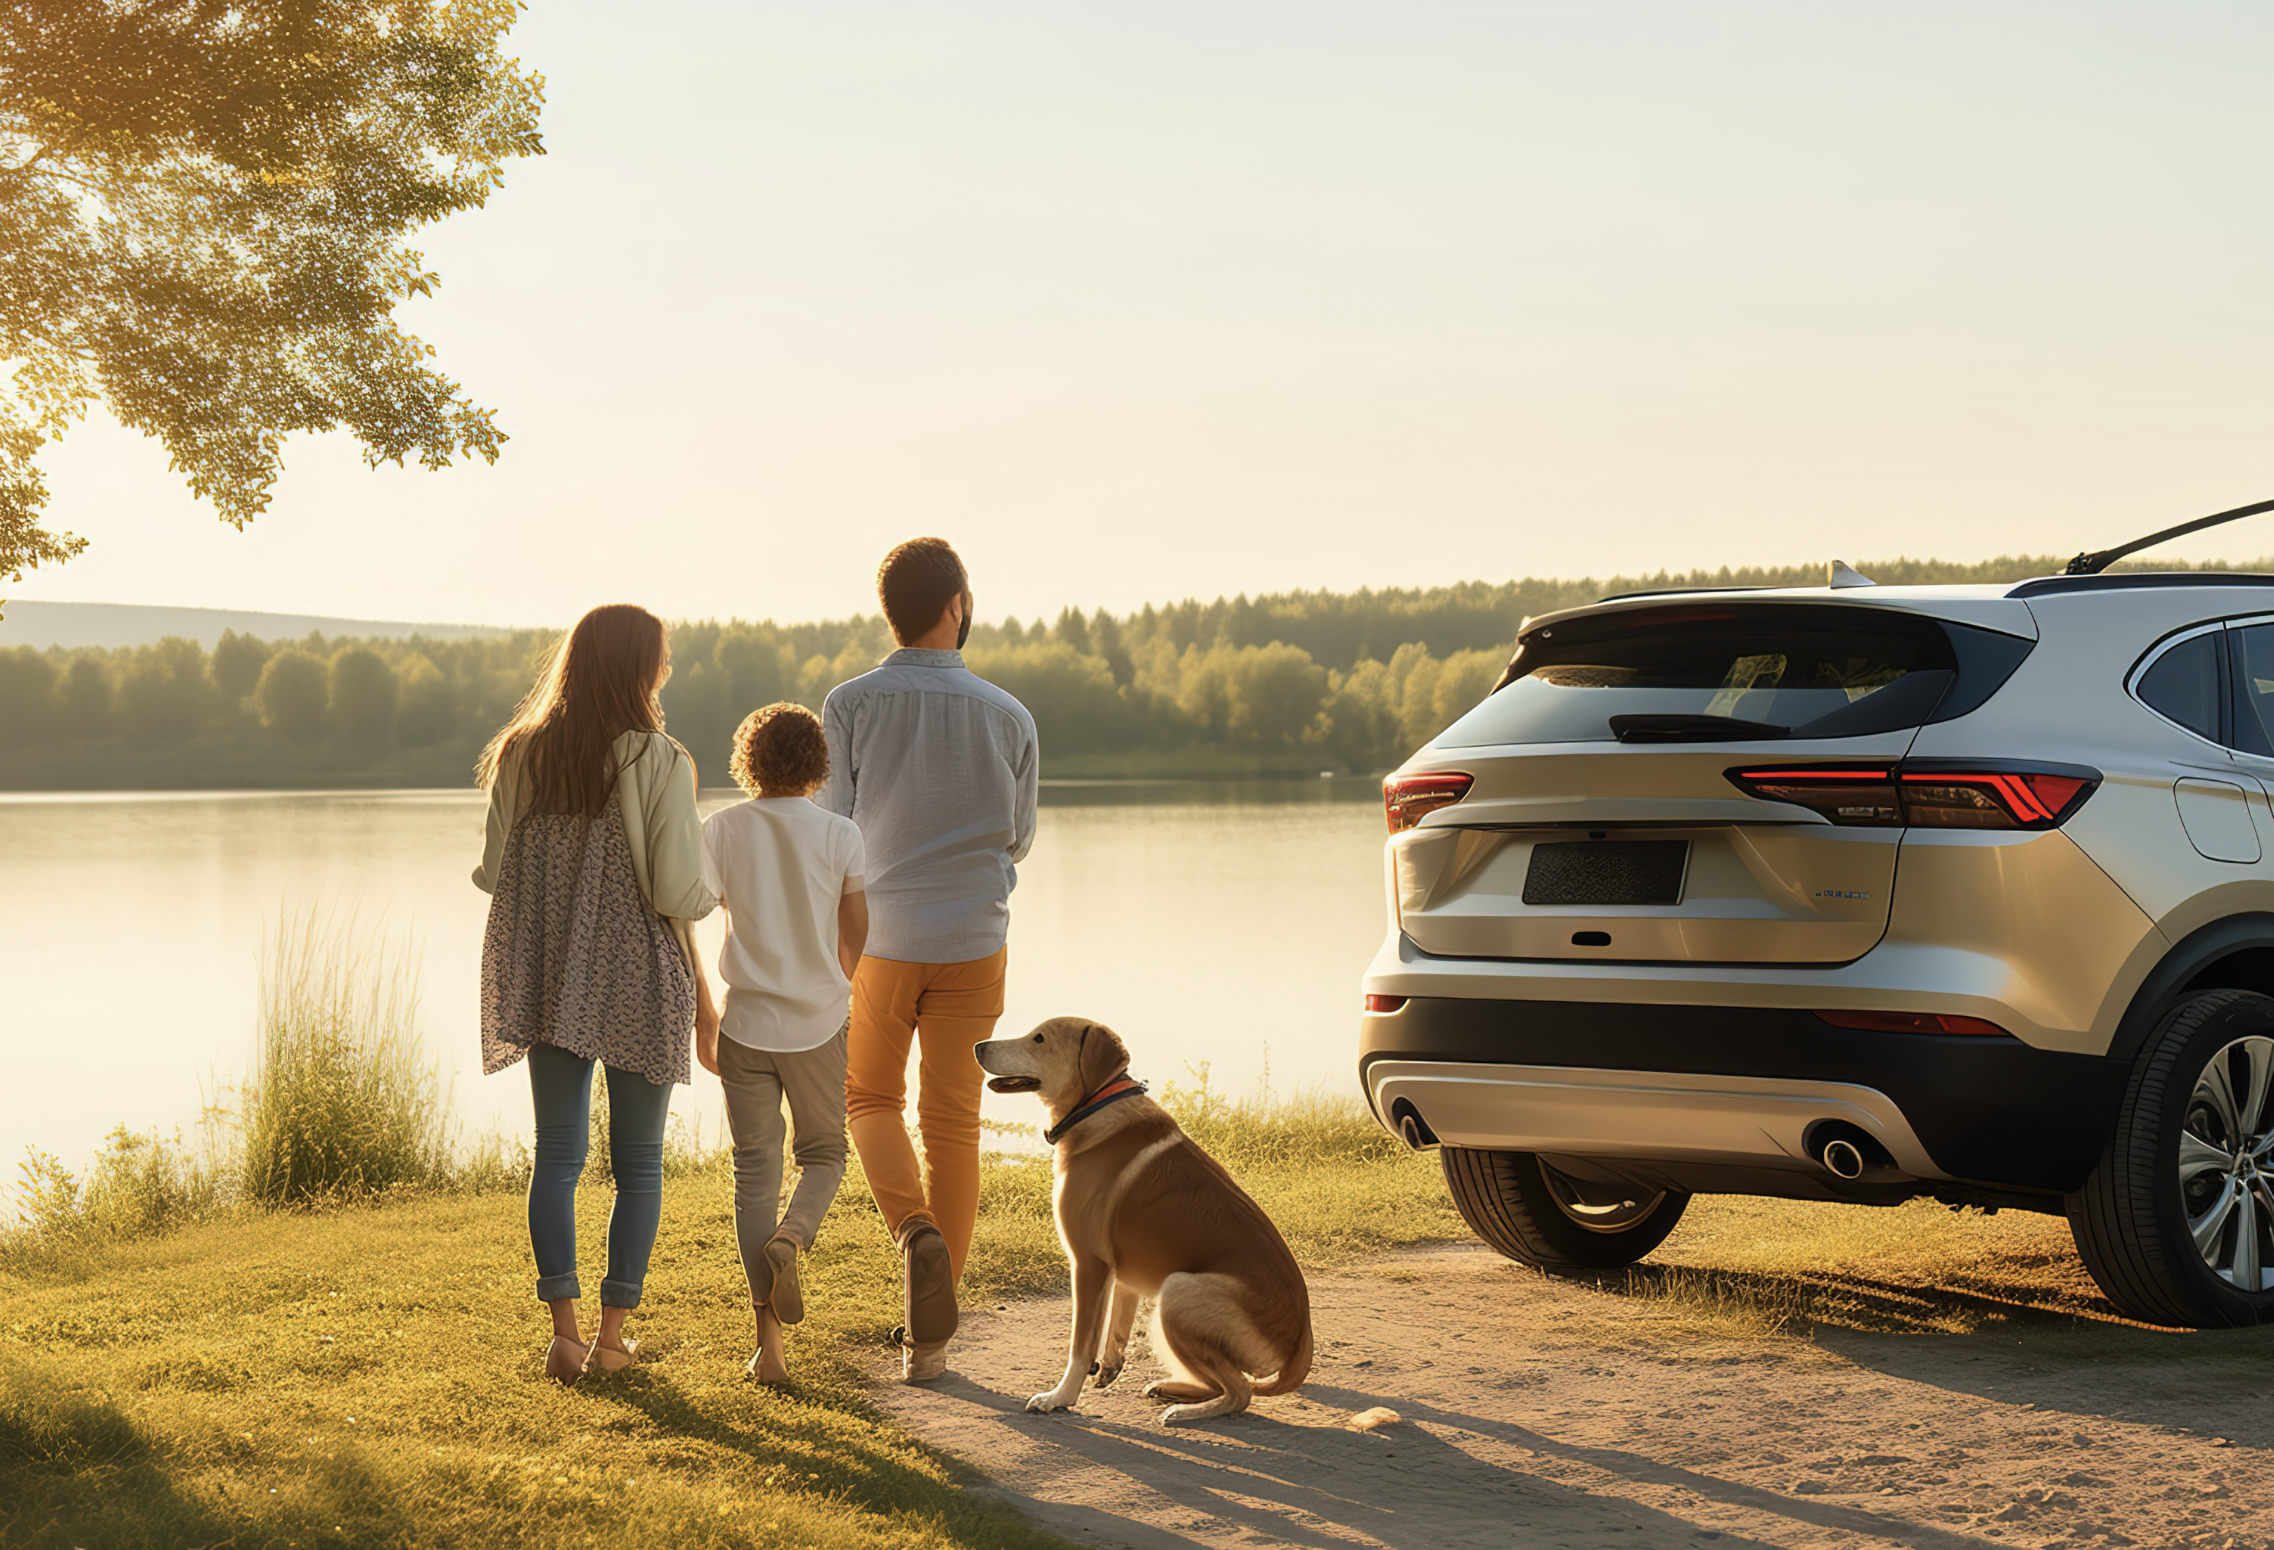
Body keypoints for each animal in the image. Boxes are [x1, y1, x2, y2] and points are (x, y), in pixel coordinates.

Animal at [977, 1009, 1318, 1418]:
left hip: (1179, 1292)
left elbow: (1080, 1345)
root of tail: (1299, 1342)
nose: (977, 1045)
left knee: (1239, 1391)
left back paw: (1184, 1412)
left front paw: (1060, 1397)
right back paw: (1170, 1389)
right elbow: (1116, 1326)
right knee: (1219, 1381)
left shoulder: (1088, 1263)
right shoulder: (1120, 1273)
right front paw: (1108, 1368)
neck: (1095, 1107)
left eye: (1039, 1039)